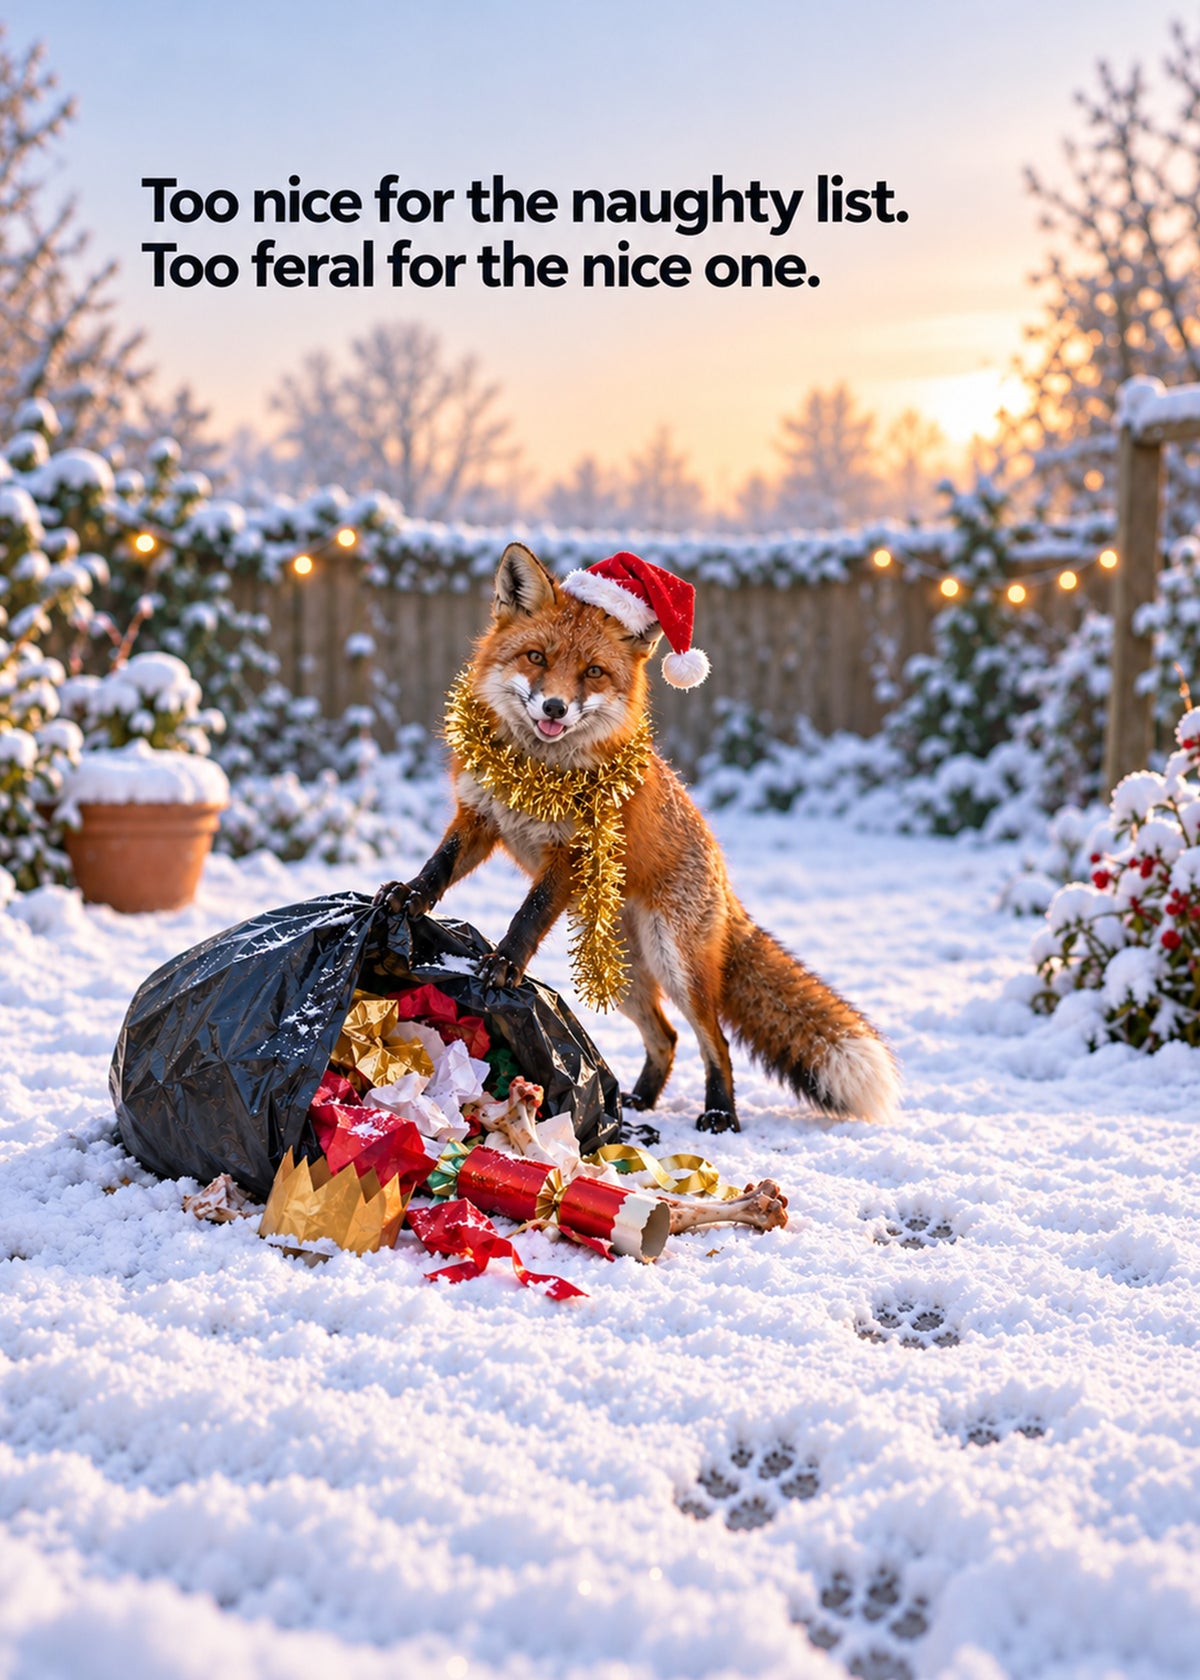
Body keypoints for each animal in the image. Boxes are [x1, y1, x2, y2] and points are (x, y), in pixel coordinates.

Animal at [392, 542, 899, 1133]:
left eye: (592, 672)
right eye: (536, 658)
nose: (554, 708)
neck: (535, 774)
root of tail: (723, 874)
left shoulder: (575, 849)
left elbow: (530, 913)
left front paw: (504, 964)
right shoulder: (479, 818)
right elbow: (439, 867)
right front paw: (405, 898)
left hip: (676, 965)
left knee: (714, 1040)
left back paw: (719, 1113)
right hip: (627, 974)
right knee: (667, 1036)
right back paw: (637, 1102)